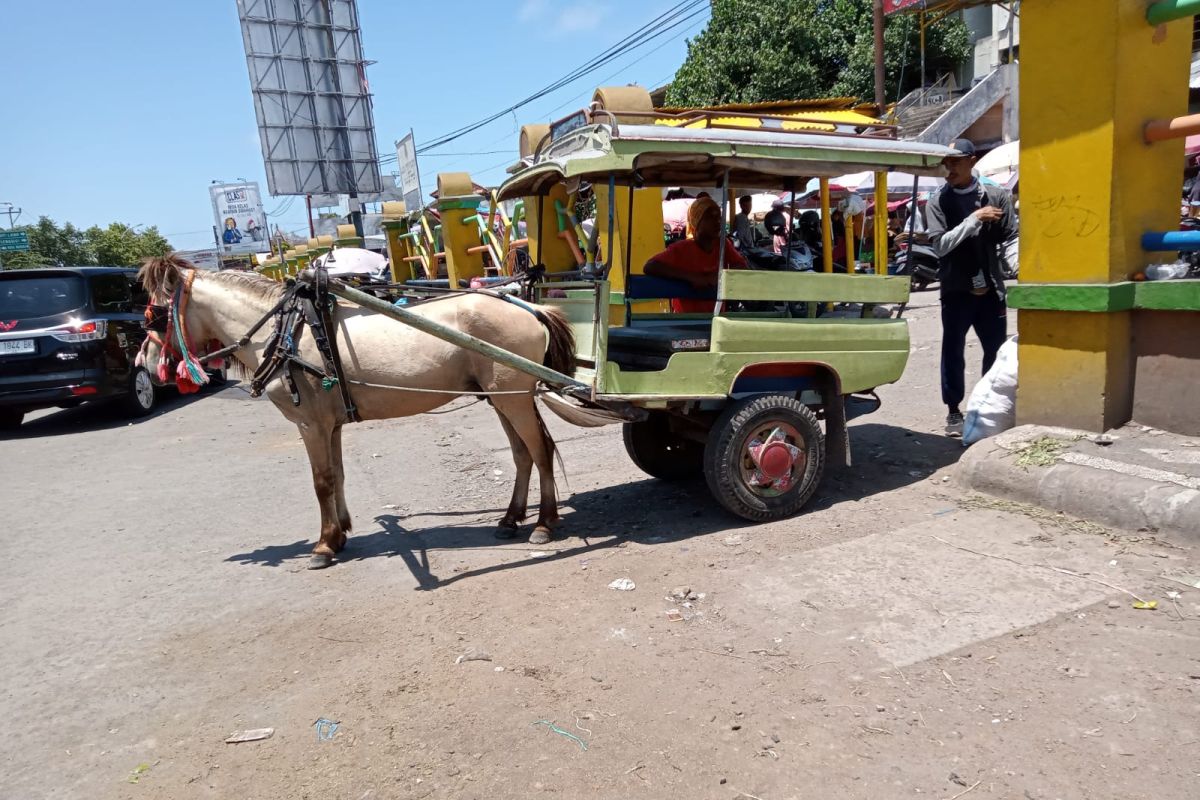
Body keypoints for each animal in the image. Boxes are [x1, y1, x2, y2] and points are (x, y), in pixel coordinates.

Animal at [136, 256, 576, 568]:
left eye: (154, 314)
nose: (150, 362)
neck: (285, 332)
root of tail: (531, 310)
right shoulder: (330, 424)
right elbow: (338, 474)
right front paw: (340, 533)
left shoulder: (310, 423)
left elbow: (321, 482)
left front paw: (323, 545)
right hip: (502, 398)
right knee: (522, 454)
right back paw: (510, 519)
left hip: (513, 398)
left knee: (540, 451)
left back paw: (543, 523)